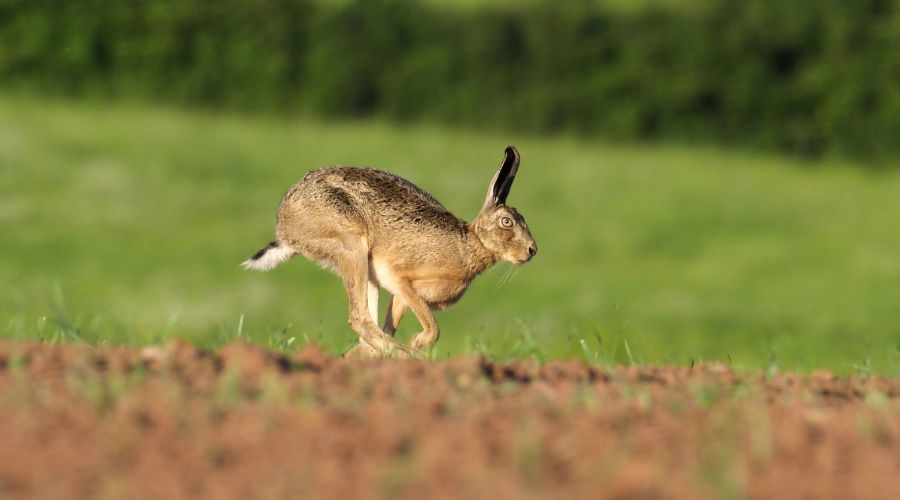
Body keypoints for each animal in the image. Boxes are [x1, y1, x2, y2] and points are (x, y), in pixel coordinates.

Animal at [241, 146, 537, 358]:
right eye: (507, 222)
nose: (532, 250)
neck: (470, 243)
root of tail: (285, 225)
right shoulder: (401, 279)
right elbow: (433, 328)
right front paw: (417, 343)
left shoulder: (403, 297)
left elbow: (389, 326)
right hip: (352, 246)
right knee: (359, 318)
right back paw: (405, 357)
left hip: (365, 273)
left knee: (368, 324)